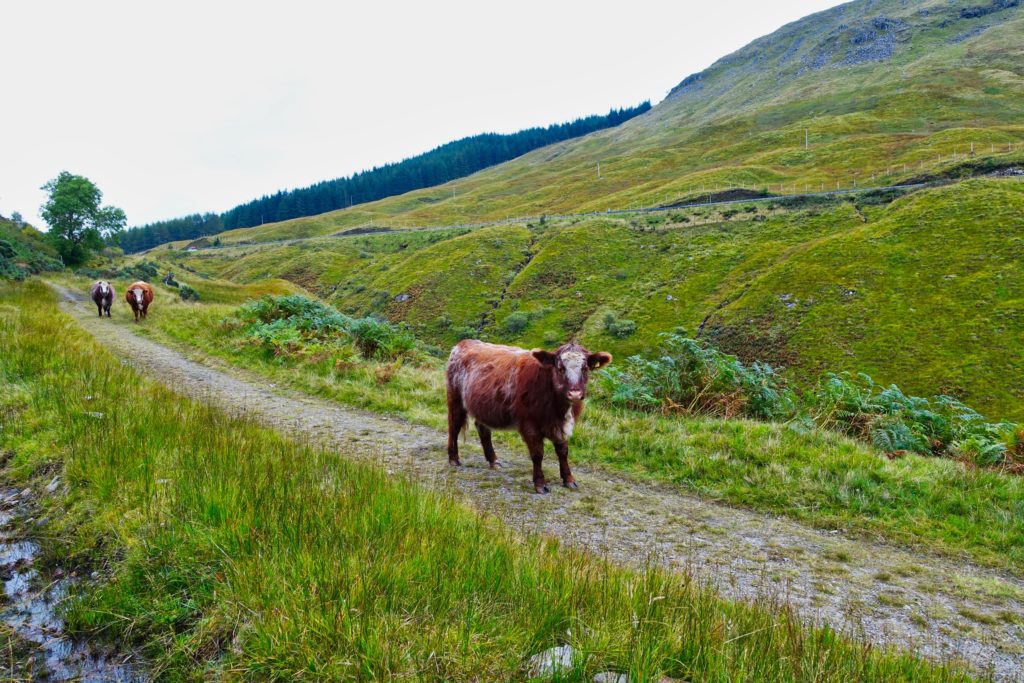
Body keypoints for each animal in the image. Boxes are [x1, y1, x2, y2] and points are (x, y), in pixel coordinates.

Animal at [444, 339, 610, 493]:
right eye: (560, 368)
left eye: (585, 368)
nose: (575, 393)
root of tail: (464, 343)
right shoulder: (530, 424)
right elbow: (537, 454)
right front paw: (540, 484)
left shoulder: (563, 425)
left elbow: (563, 451)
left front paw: (569, 479)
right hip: (455, 399)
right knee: (454, 426)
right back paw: (453, 459)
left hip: (483, 407)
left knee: (483, 430)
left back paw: (493, 461)